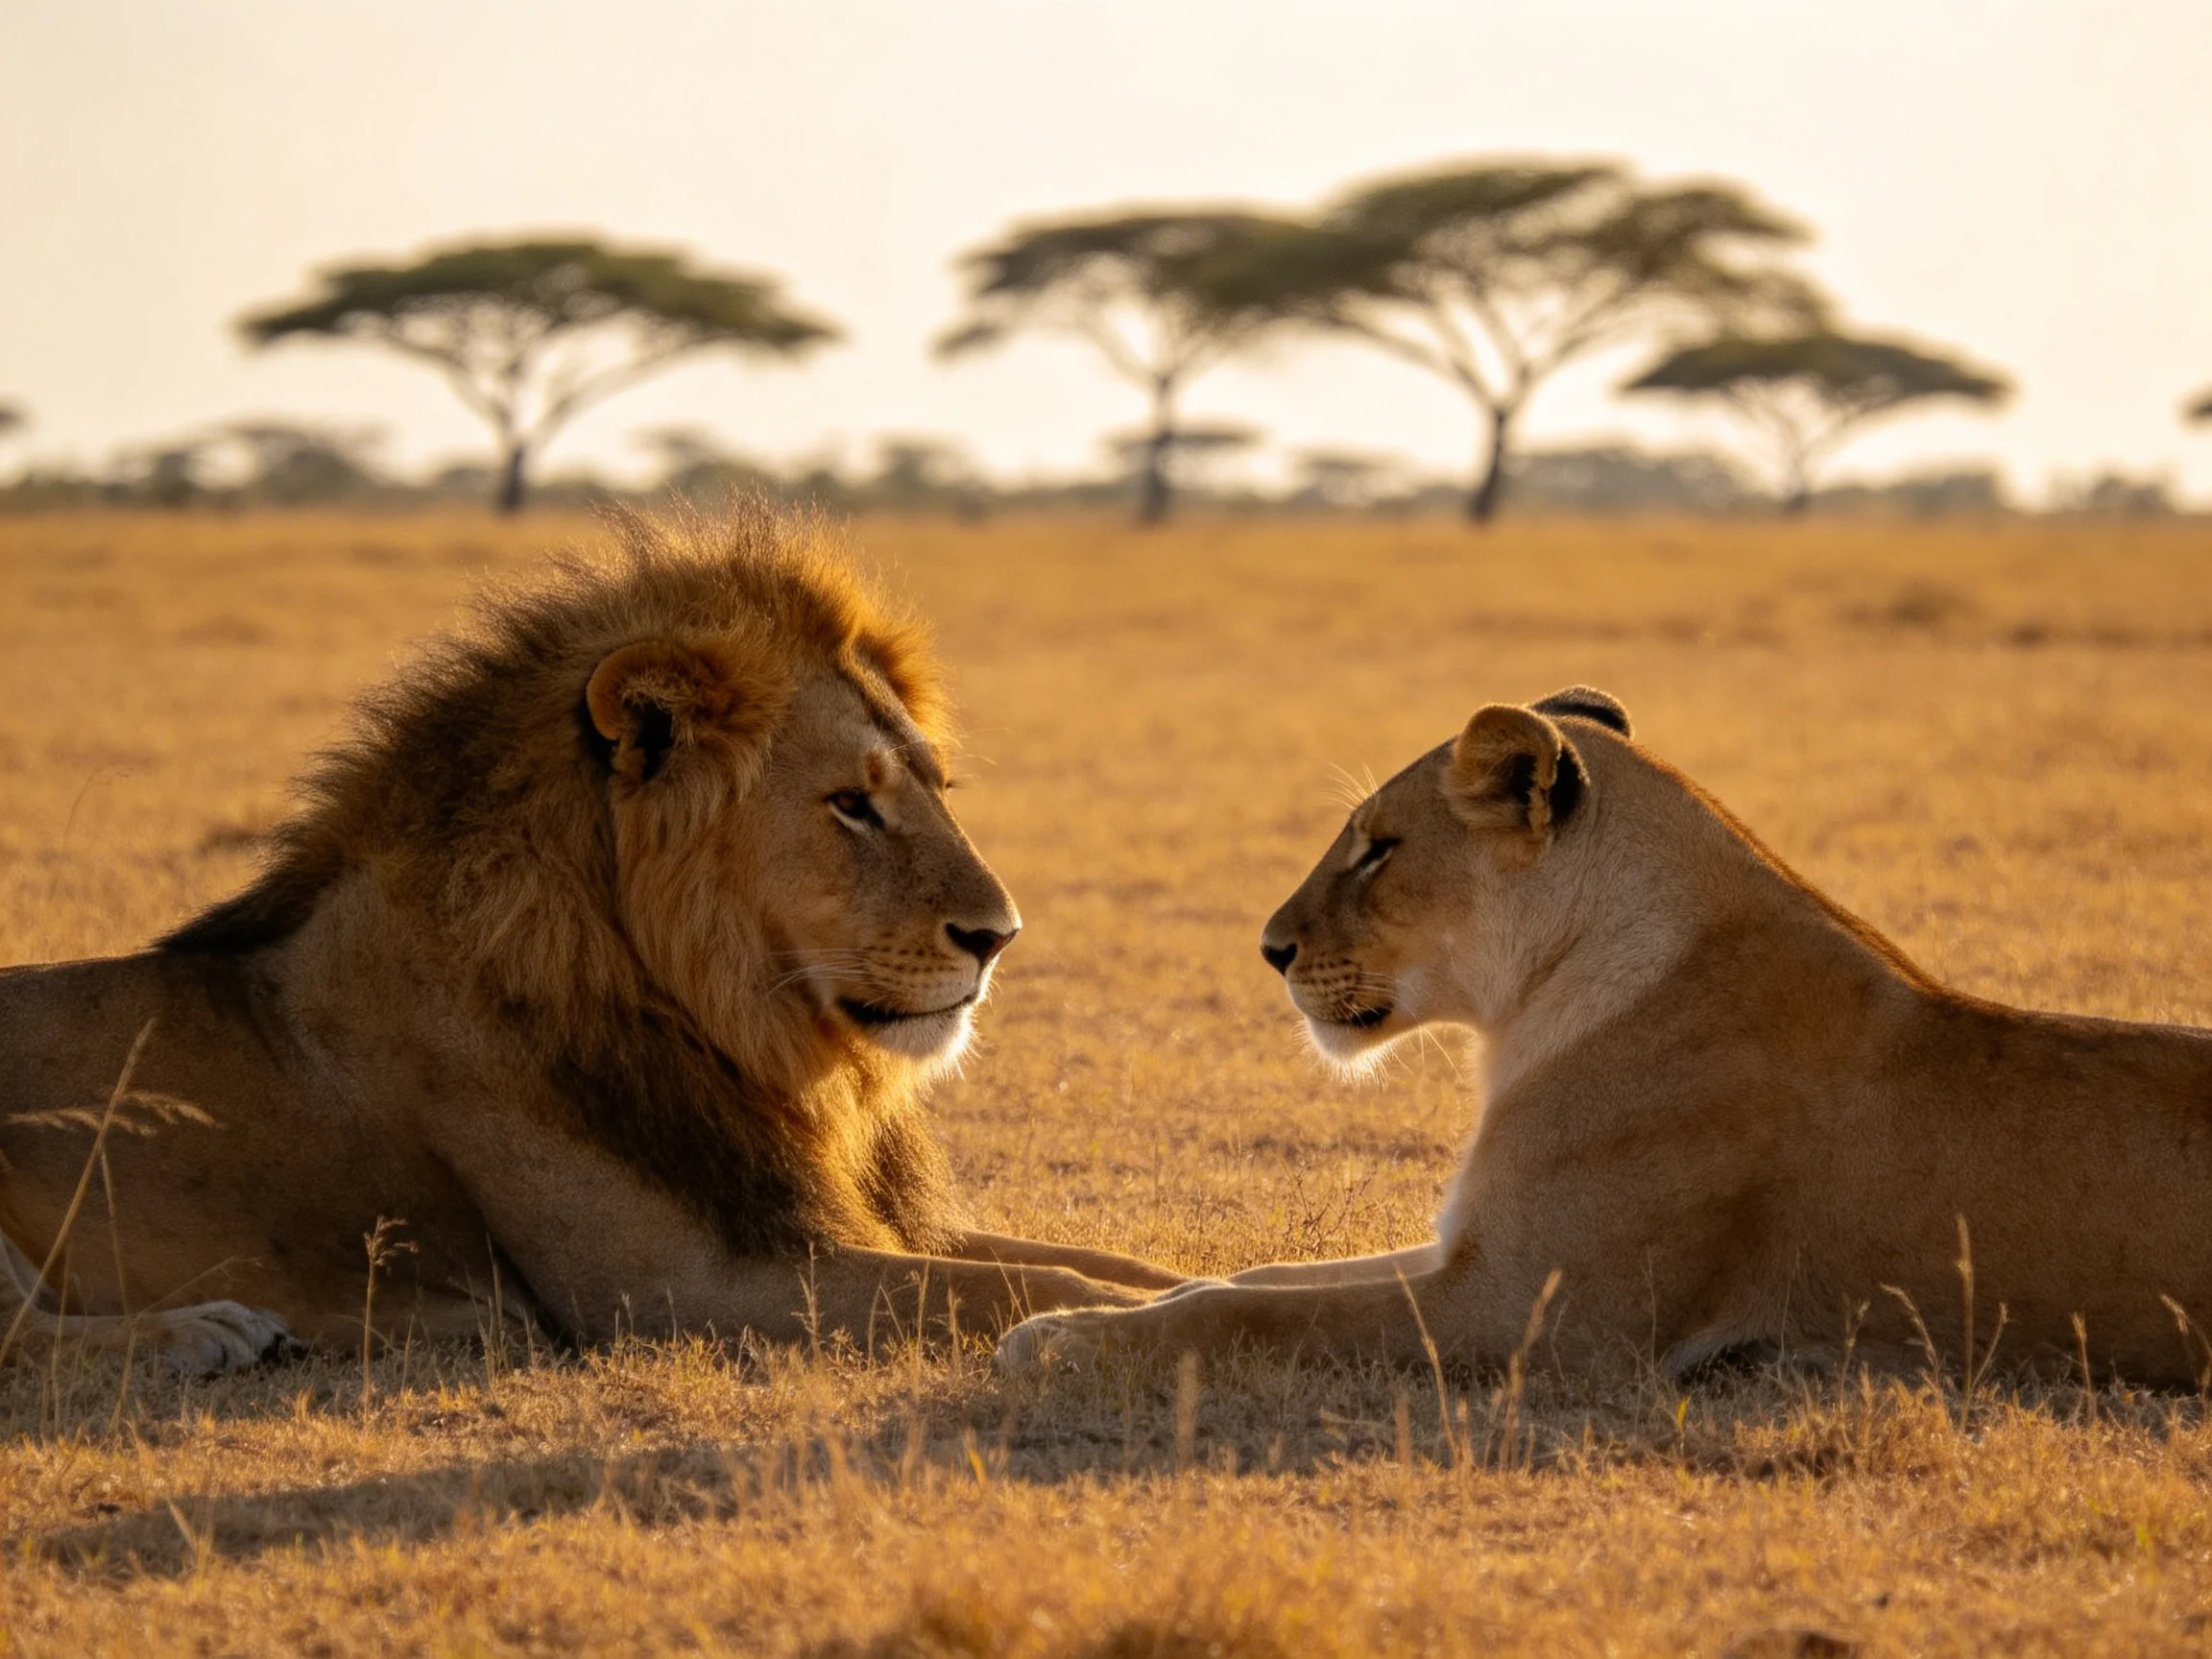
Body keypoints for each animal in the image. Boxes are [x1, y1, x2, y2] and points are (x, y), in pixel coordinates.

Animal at [0, 503, 1180, 1375]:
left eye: (937, 790)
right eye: (852, 804)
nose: (1000, 937)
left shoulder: (839, 1218)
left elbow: (1106, 1260)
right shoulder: (689, 1287)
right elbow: (1030, 1285)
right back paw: (209, 1331)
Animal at [999, 686, 2212, 1386]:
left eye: (1380, 847)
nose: (1269, 947)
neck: (1531, 1009)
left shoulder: (1526, 1307)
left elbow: (1251, 1319)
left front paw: (1062, 1343)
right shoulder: (1471, 1247)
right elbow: (1243, 1280)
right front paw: (1084, 1306)